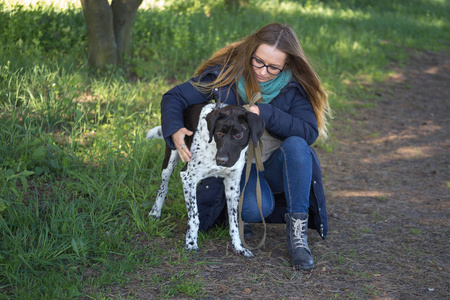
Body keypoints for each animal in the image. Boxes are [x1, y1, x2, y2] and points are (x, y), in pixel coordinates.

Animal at [146, 103, 266, 258]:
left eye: (238, 134)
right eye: (219, 133)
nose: (221, 160)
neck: (214, 147)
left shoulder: (232, 185)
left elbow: (234, 221)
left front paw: (239, 247)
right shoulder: (188, 177)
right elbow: (194, 217)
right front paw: (191, 242)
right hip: (170, 159)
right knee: (163, 187)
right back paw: (155, 212)